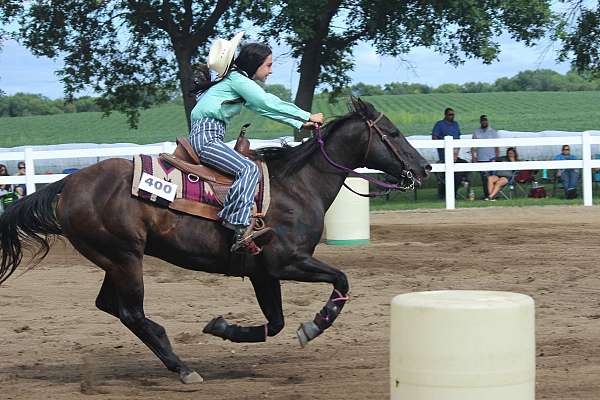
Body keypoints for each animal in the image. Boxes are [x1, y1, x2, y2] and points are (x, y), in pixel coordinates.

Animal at [0, 96, 432, 382]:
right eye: (393, 132)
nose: (424, 167)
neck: (297, 185)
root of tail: (68, 183)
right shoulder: (286, 262)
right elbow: (341, 280)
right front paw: (314, 326)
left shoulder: (263, 272)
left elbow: (275, 322)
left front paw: (222, 327)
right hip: (125, 259)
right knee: (131, 313)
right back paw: (182, 366)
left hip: (115, 259)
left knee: (111, 306)